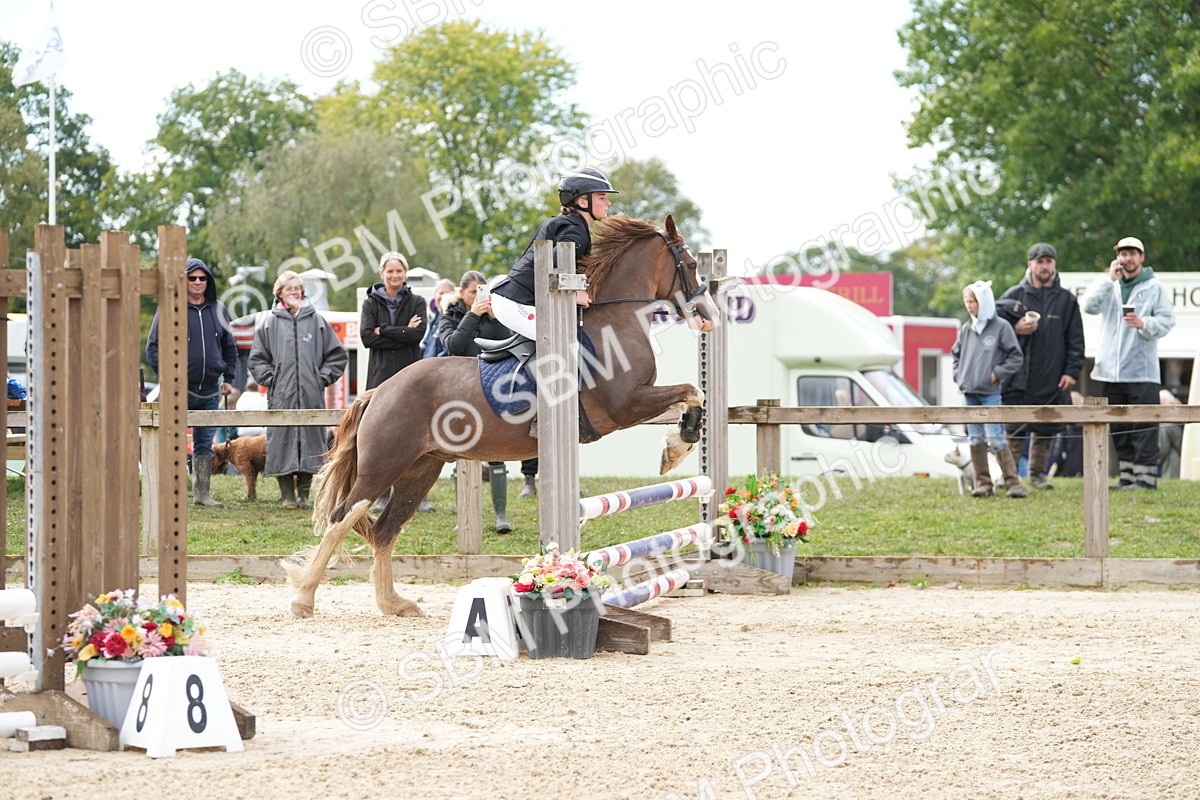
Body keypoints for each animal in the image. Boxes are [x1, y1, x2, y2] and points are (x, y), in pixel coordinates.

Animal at [283, 214, 719, 618]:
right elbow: (691, 390)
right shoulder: (625, 404)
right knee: (344, 517)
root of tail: (379, 391)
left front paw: (677, 444)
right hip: (382, 466)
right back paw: (304, 599)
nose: (710, 315)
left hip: (419, 469)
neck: (614, 322)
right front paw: (676, 450)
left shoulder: (635, 402)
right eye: (691, 264)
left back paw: (394, 603)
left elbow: (691, 396)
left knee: (386, 528)